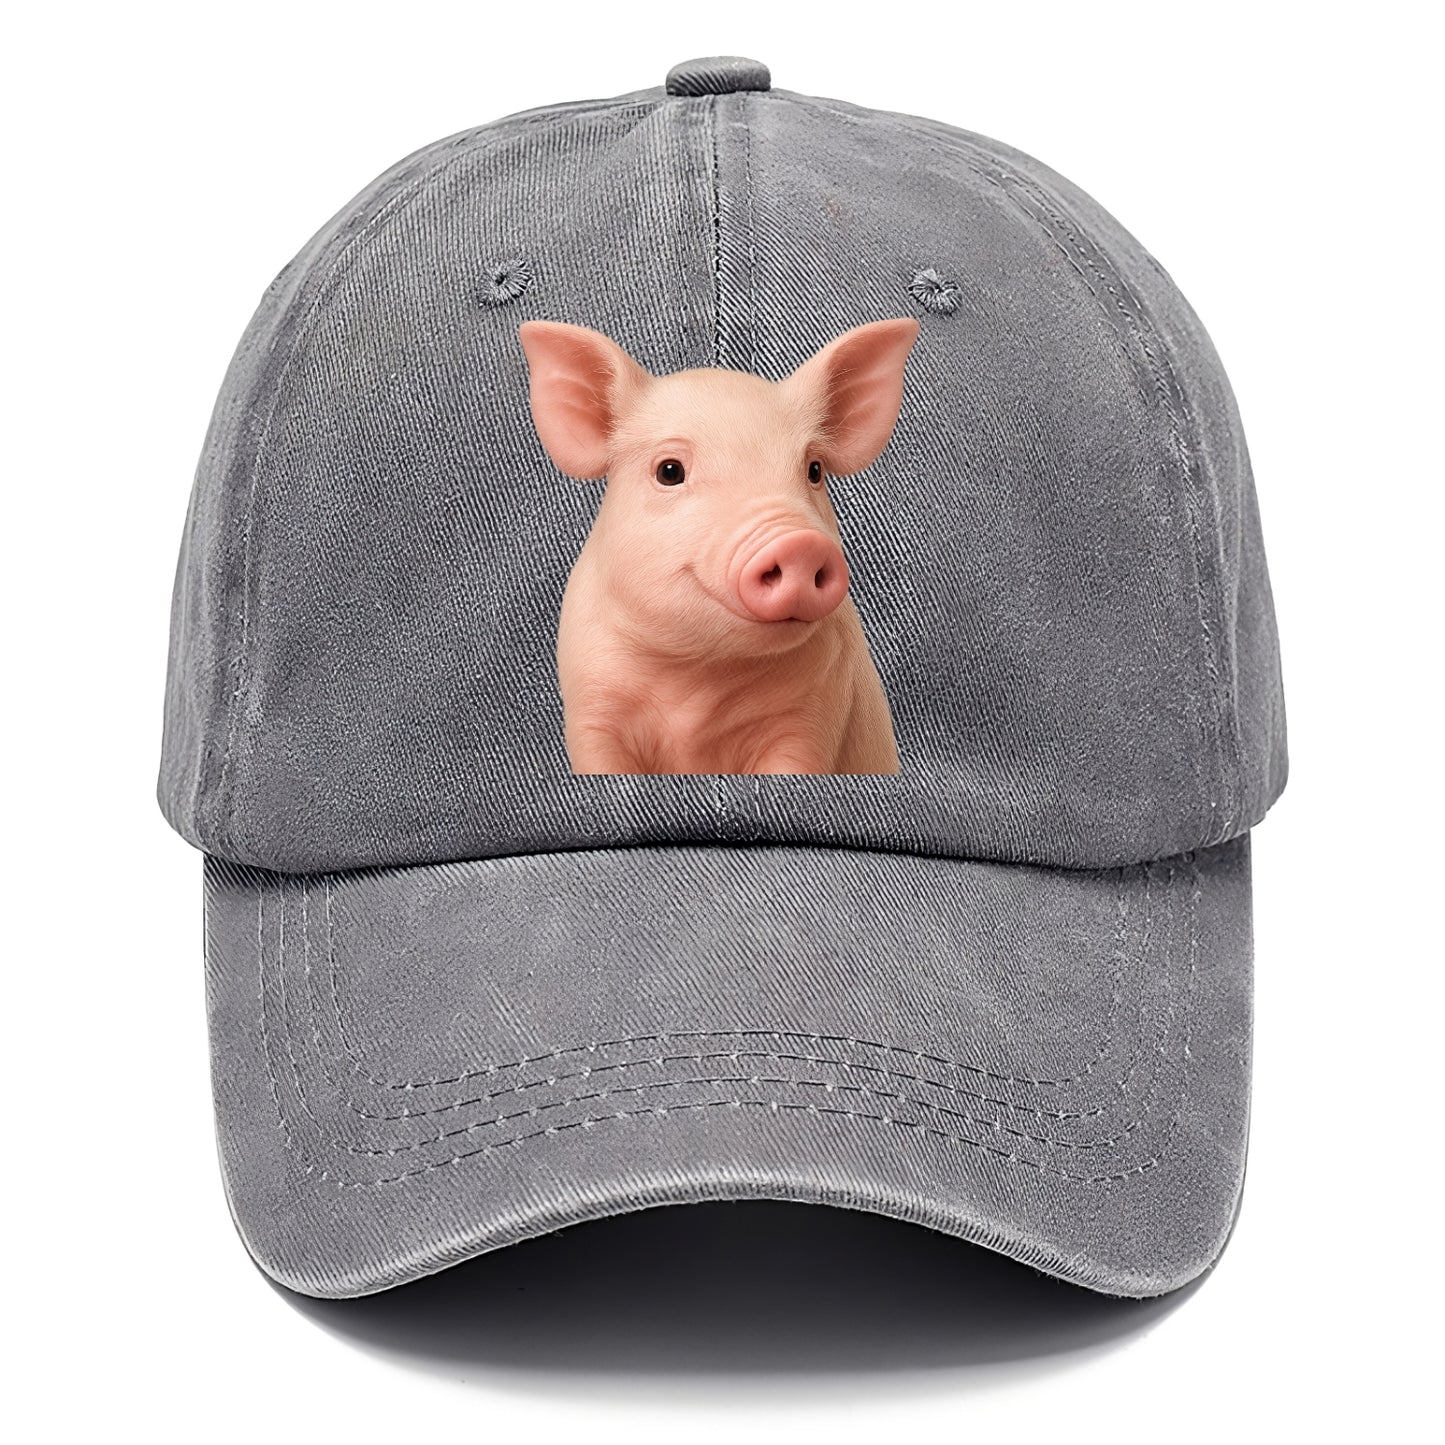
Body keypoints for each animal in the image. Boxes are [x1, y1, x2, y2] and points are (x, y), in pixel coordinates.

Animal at [518, 316, 919, 776]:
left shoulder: (812, 718)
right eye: (670, 471)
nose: (799, 544)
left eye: (814, 470)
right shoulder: (592, 708)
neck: (698, 677)